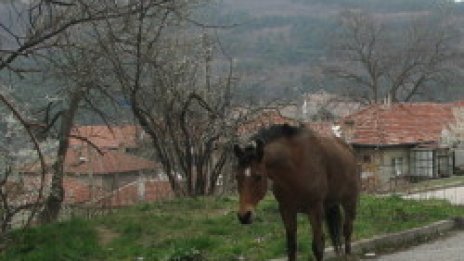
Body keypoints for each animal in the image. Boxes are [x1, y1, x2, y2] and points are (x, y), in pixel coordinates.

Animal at [234, 124, 360, 260]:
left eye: (258, 177)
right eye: (237, 176)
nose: (244, 216)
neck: (295, 168)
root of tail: (349, 150)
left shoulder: (314, 209)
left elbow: (318, 246)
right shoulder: (286, 210)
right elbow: (291, 247)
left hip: (350, 201)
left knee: (347, 230)